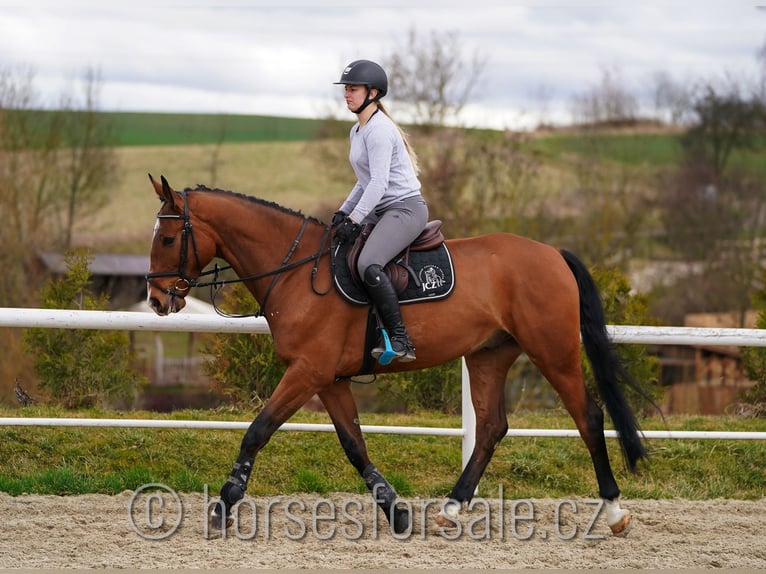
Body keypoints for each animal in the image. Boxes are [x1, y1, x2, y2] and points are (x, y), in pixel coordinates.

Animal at [146, 176, 648, 540]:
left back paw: (615, 512)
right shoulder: (330, 379)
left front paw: (224, 505)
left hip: (553, 351)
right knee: (490, 428)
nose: (156, 299)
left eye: (168, 239)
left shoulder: (307, 372)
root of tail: (553, 254)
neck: (297, 272)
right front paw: (396, 513)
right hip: (488, 355)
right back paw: (449, 511)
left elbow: (257, 431)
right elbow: (354, 446)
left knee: (588, 416)